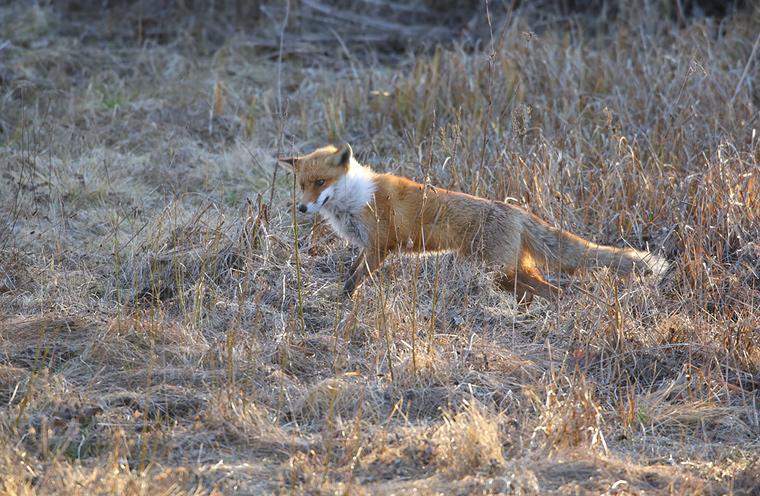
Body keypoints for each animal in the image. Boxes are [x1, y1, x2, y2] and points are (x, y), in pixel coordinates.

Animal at [278, 143, 664, 304]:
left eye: (320, 182)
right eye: (301, 184)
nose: (302, 208)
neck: (355, 199)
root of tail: (518, 212)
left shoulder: (380, 247)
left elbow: (353, 281)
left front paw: (342, 304)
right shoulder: (367, 248)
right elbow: (350, 272)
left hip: (497, 271)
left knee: (554, 291)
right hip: (511, 272)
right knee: (547, 291)